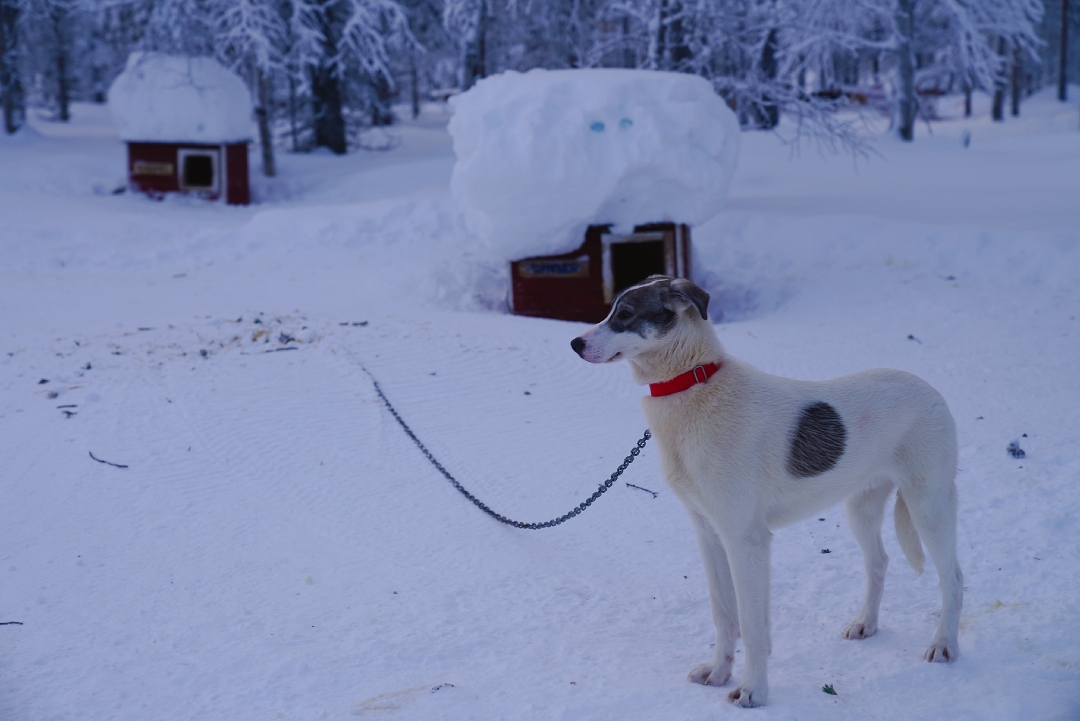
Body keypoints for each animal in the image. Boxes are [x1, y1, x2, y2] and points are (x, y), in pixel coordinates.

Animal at [570, 274, 967, 703]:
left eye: (625, 315)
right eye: (611, 309)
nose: (575, 343)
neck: (694, 383)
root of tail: (930, 390)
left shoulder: (746, 540)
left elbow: (751, 626)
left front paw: (753, 692)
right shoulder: (708, 534)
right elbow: (724, 615)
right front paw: (719, 672)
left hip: (929, 507)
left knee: (953, 578)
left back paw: (945, 644)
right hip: (860, 509)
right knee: (878, 563)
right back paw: (866, 624)